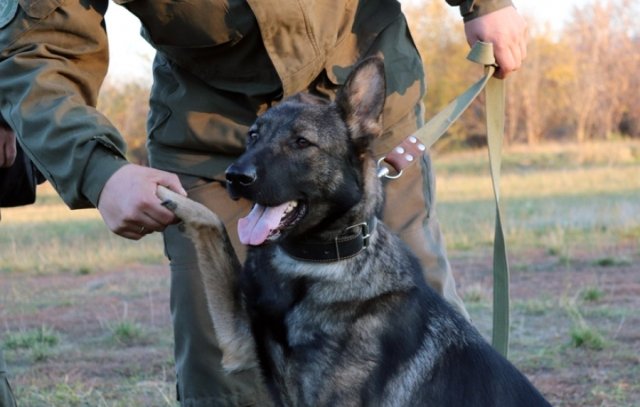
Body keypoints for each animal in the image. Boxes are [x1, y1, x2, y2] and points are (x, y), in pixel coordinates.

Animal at [158, 55, 552, 406]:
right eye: (253, 137)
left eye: (302, 142)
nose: (235, 177)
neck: (316, 263)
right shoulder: (240, 340)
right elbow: (212, 225)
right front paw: (164, 192)